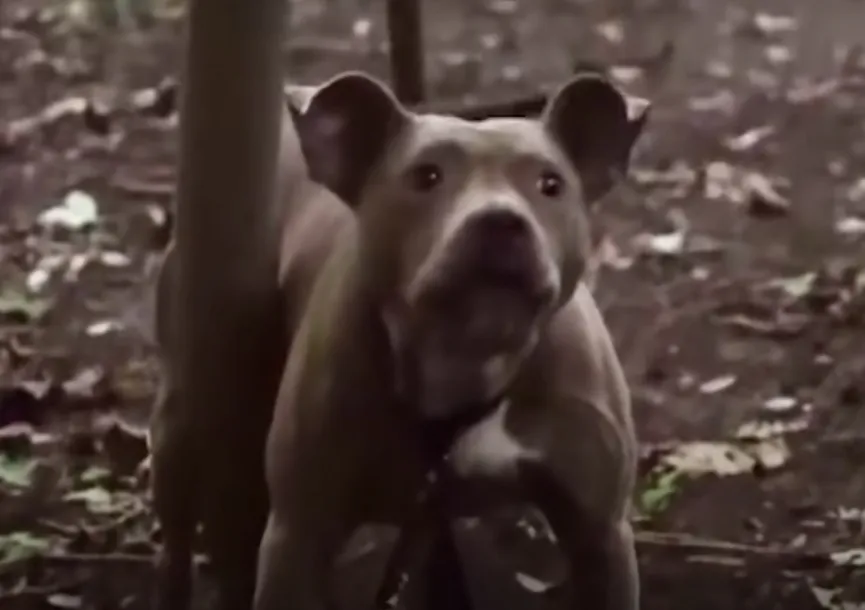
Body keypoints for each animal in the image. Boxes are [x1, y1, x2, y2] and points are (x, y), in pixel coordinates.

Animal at [250, 70, 648, 608]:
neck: (469, 354)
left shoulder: (601, 534)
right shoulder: (296, 537)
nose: (501, 220)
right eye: (426, 177)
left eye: (551, 184)